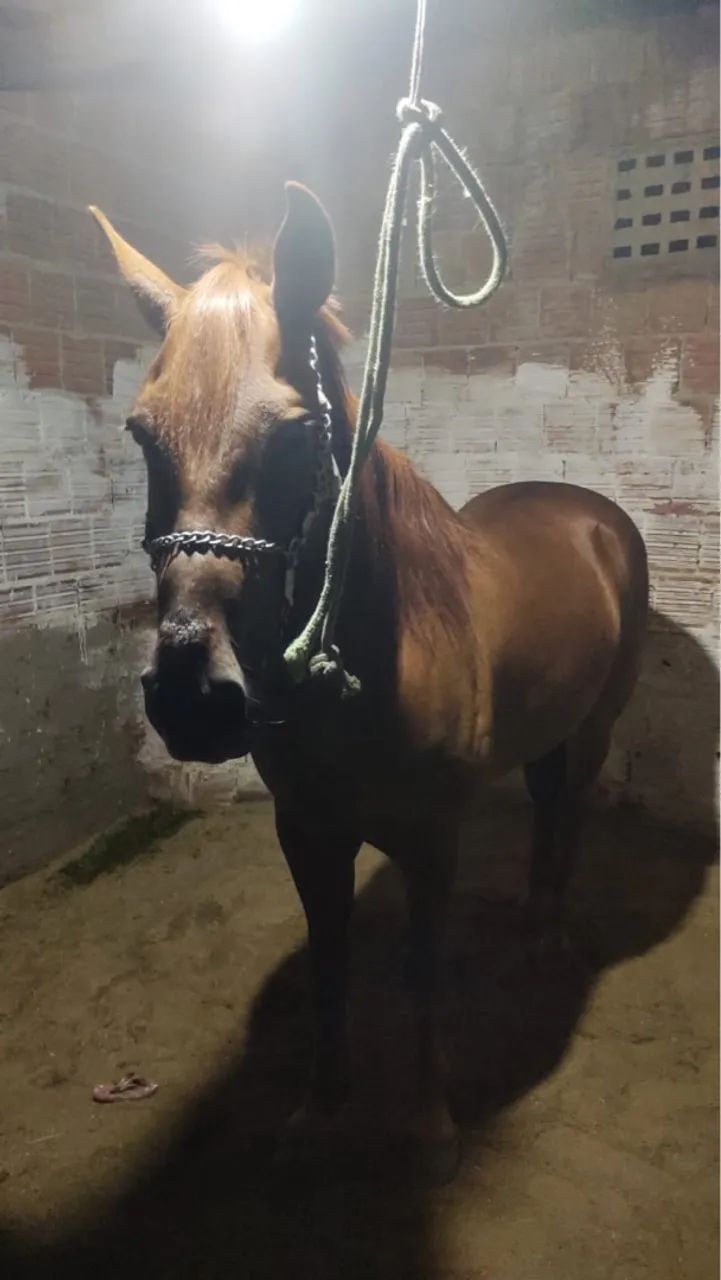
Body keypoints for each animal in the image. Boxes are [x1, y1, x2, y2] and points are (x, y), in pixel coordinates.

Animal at [91, 183, 648, 1176]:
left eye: (293, 435)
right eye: (141, 433)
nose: (192, 702)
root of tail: (591, 515)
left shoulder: (431, 840)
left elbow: (420, 971)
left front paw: (427, 1125)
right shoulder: (307, 831)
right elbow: (329, 960)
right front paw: (321, 1107)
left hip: (594, 727)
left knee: (569, 811)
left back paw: (545, 938)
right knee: (548, 805)